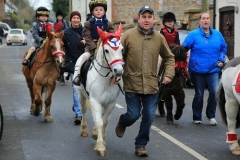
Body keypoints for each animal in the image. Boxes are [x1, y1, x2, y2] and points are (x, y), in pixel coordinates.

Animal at [73, 24, 124, 156]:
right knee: (84, 111)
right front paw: (100, 147)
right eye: (106, 50)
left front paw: (102, 140)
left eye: (121, 49)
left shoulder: (110, 103)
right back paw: (84, 130)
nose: (118, 71)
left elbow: (104, 121)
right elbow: (100, 122)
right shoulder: (95, 101)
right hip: (81, 95)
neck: (105, 77)